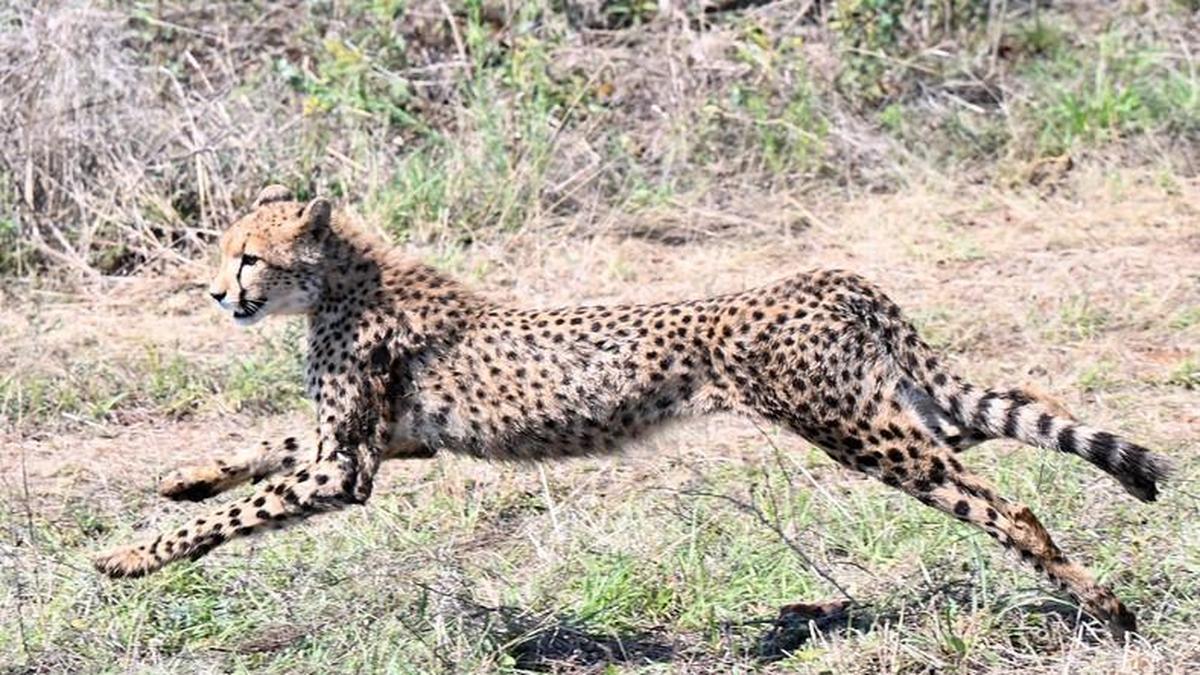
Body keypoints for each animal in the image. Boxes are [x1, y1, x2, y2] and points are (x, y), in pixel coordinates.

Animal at [94, 184, 1172, 640]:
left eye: (248, 256)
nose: (215, 293)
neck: (340, 281)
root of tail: (826, 276)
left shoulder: (347, 466)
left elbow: (236, 512)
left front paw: (130, 556)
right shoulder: (390, 442)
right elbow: (261, 448)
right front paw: (182, 474)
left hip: (860, 431)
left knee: (1010, 508)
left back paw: (1107, 607)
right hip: (904, 406)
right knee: (1014, 408)